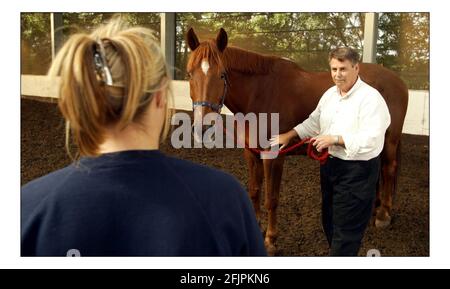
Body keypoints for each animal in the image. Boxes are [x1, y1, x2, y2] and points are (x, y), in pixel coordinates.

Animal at [186, 27, 408, 254]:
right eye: (189, 74)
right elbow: (254, 191)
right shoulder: (251, 153)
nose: (202, 126)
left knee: (389, 168)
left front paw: (271, 240)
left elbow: (271, 199)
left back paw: (383, 215)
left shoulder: (273, 156)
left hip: (389, 140)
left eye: (222, 74)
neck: (260, 93)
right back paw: (375, 210)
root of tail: (398, 81)